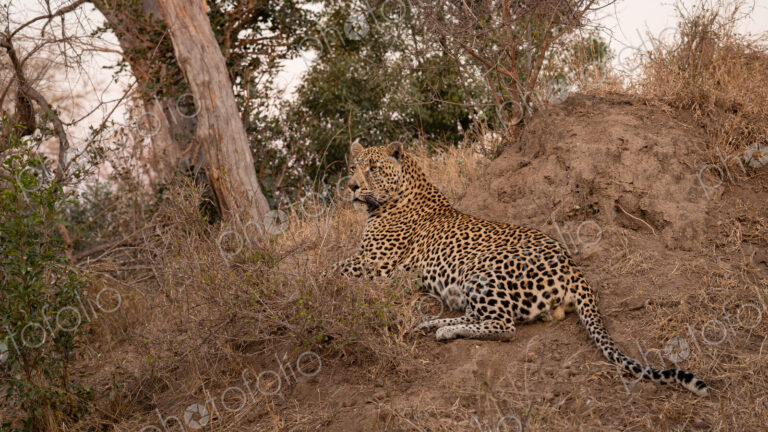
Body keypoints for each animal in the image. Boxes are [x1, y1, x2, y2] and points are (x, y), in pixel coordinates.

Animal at [333, 140, 709, 397]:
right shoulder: (369, 260)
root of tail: (574, 268)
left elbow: (330, 270)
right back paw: (432, 325)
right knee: (477, 316)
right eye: (353, 167)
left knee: (503, 325)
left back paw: (443, 331)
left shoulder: (376, 262)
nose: (351, 186)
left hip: (482, 270)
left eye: (372, 168)